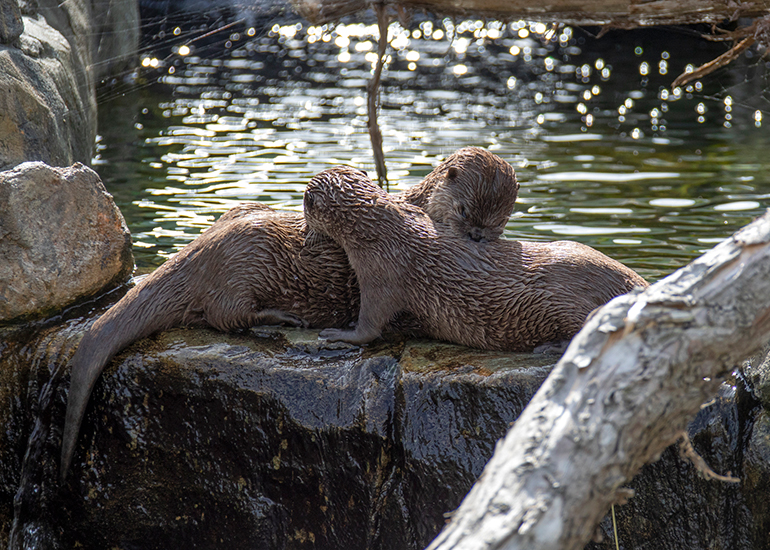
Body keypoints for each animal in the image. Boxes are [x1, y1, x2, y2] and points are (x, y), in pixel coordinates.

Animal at [61, 147, 519, 480]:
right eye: (464, 211)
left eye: (499, 222)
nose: (477, 237)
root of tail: (202, 250)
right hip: (245, 265)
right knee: (225, 316)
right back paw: (281, 319)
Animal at [303, 166, 648, 350]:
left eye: (307, 211)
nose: (306, 230)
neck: (380, 230)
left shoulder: (381, 272)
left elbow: (370, 325)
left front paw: (339, 334)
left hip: (561, 303)